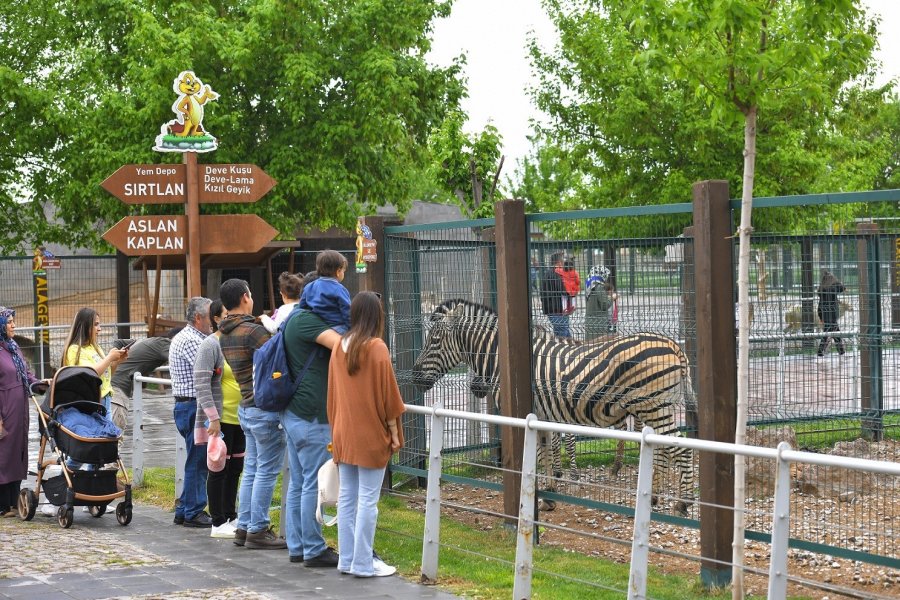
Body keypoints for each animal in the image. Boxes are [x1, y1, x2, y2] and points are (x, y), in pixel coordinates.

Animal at [412, 298, 692, 516]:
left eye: (434, 340)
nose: (414, 377)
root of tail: (673, 345)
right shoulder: (543, 415)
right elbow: (546, 452)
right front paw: (549, 495)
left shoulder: (528, 414)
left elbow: (537, 455)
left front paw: (542, 496)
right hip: (659, 407)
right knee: (664, 449)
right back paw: (655, 497)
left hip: (653, 405)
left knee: (682, 448)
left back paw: (683, 504)